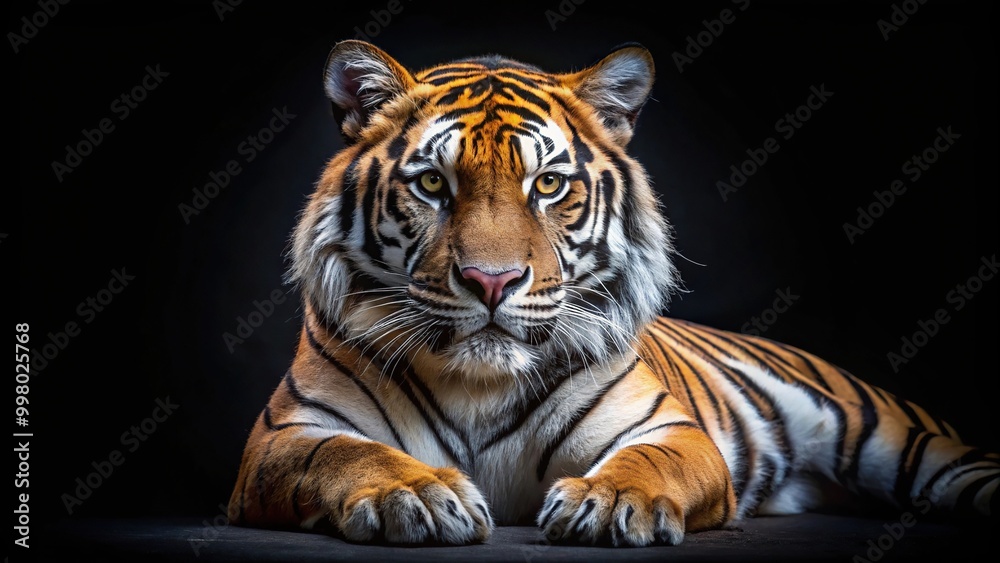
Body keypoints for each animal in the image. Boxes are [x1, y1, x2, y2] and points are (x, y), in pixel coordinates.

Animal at [227, 39, 998, 546]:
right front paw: (416, 493)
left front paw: (609, 502)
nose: (491, 280)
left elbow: (648, 461)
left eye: (547, 184)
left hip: (889, 432)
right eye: (432, 184)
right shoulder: (283, 435)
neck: (477, 384)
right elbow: (348, 454)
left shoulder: (667, 428)